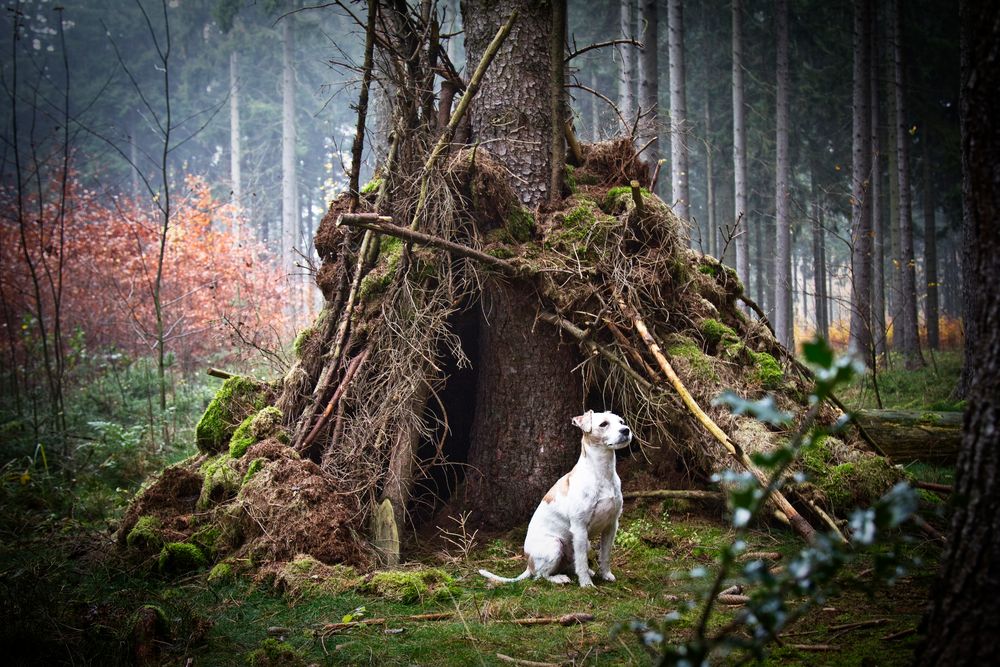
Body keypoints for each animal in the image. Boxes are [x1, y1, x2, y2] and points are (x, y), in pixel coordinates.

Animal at [478, 410, 632, 588]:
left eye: (621, 421)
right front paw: (586, 585)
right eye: (604, 424)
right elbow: (582, 561)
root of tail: (529, 564)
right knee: (541, 575)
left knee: (569, 565)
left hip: (583, 544)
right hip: (555, 545)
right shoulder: (580, 527)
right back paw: (559, 578)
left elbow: (605, 556)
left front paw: (606, 575)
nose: (626, 430)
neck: (602, 472)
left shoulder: (611, 525)